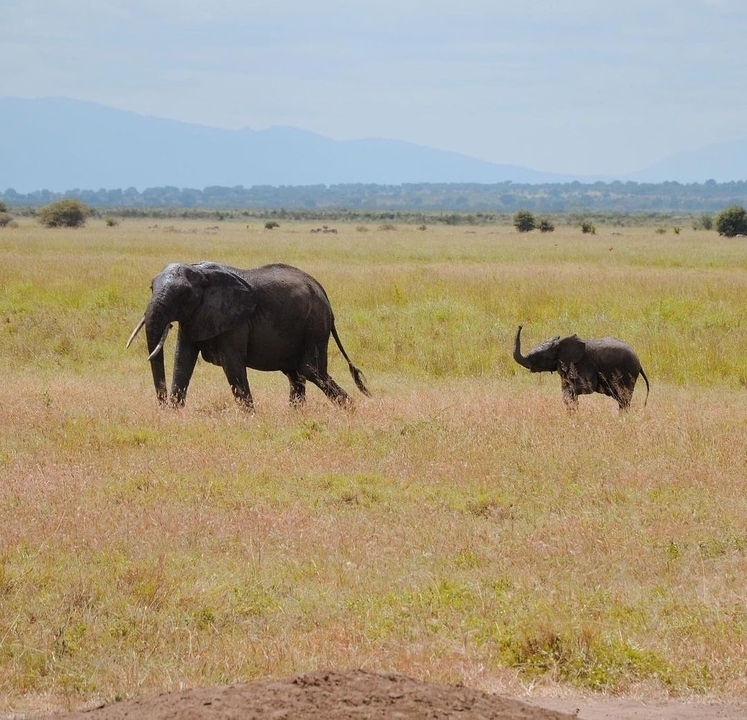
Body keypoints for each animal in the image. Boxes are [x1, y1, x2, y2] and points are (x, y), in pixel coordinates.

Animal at [127, 261, 370, 411]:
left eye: (184, 294)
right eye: (151, 288)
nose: (162, 406)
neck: (200, 271)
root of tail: (324, 294)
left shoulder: (235, 321)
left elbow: (232, 365)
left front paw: (251, 418)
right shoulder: (196, 316)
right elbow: (183, 362)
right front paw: (174, 415)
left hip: (315, 324)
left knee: (310, 370)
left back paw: (352, 411)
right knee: (296, 375)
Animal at [513, 325, 649, 411]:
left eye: (538, 357)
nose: (520, 325)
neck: (561, 344)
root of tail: (639, 362)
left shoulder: (583, 364)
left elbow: (588, 386)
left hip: (627, 373)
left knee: (623, 399)